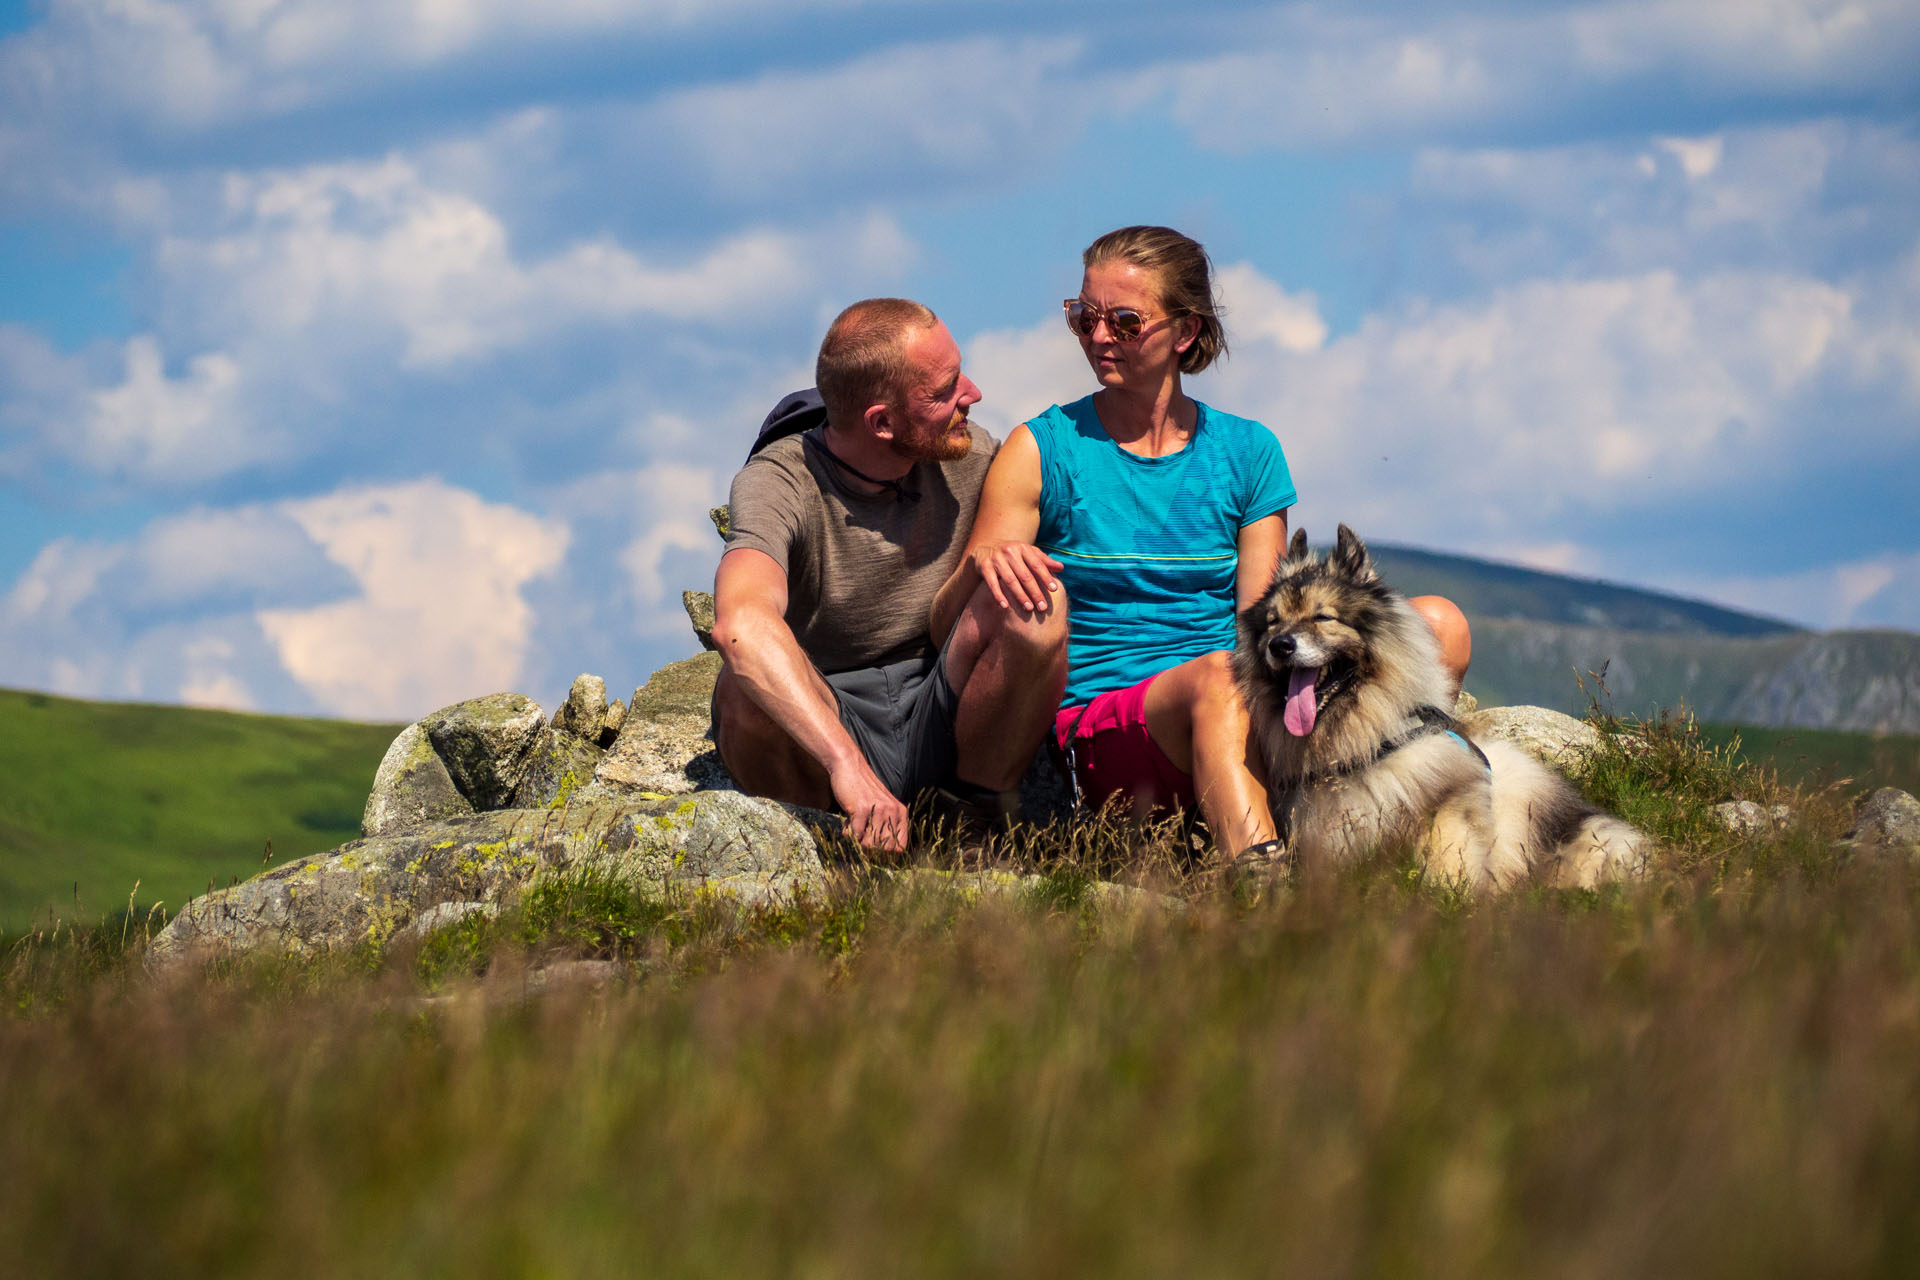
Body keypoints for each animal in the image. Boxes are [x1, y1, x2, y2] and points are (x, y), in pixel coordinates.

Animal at [1236, 521, 1643, 890]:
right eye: (1273, 622)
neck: (1363, 747)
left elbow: (1444, 866)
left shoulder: (1446, 809)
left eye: (1323, 617)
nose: (1280, 646)